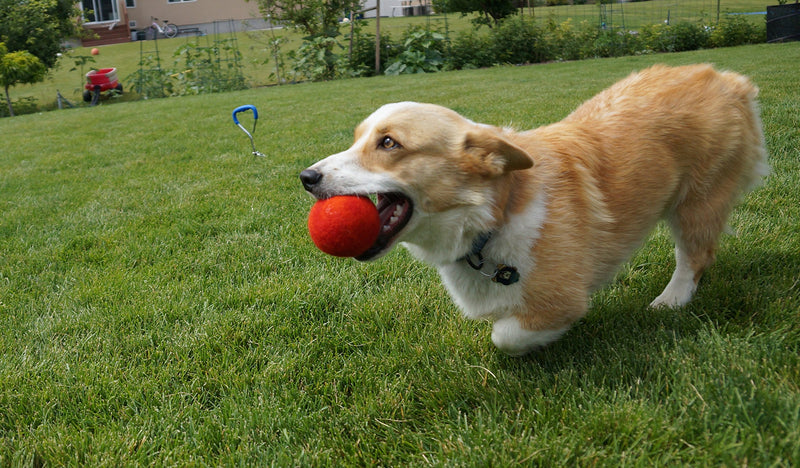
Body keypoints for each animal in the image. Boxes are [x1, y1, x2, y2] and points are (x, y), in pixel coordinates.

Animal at [300, 63, 768, 354]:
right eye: (356, 139)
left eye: (389, 143)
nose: (306, 177)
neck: (492, 216)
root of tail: (727, 80)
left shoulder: (559, 301)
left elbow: (506, 335)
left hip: (697, 203)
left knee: (695, 256)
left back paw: (671, 299)